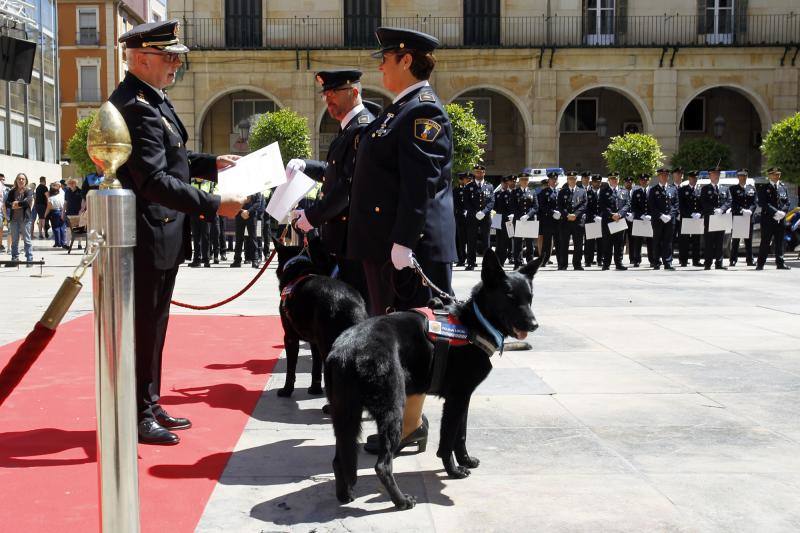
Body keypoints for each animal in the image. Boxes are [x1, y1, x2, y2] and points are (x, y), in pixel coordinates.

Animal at [272, 237, 366, 394]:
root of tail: (349, 303)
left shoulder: (290, 337)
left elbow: (291, 369)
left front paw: (286, 390)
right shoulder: (314, 340)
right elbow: (316, 367)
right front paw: (315, 388)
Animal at [326, 249, 544, 508]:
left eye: (530, 298)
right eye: (509, 297)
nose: (534, 325)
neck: (474, 322)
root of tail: (345, 350)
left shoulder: (462, 399)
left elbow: (461, 435)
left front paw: (465, 460)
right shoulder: (457, 399)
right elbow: (448, 439)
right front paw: (453, 470)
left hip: (345, 416)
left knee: (340, 458)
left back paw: (345, 495)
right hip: (392, 409)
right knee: (382, 465)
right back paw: (401, 501)